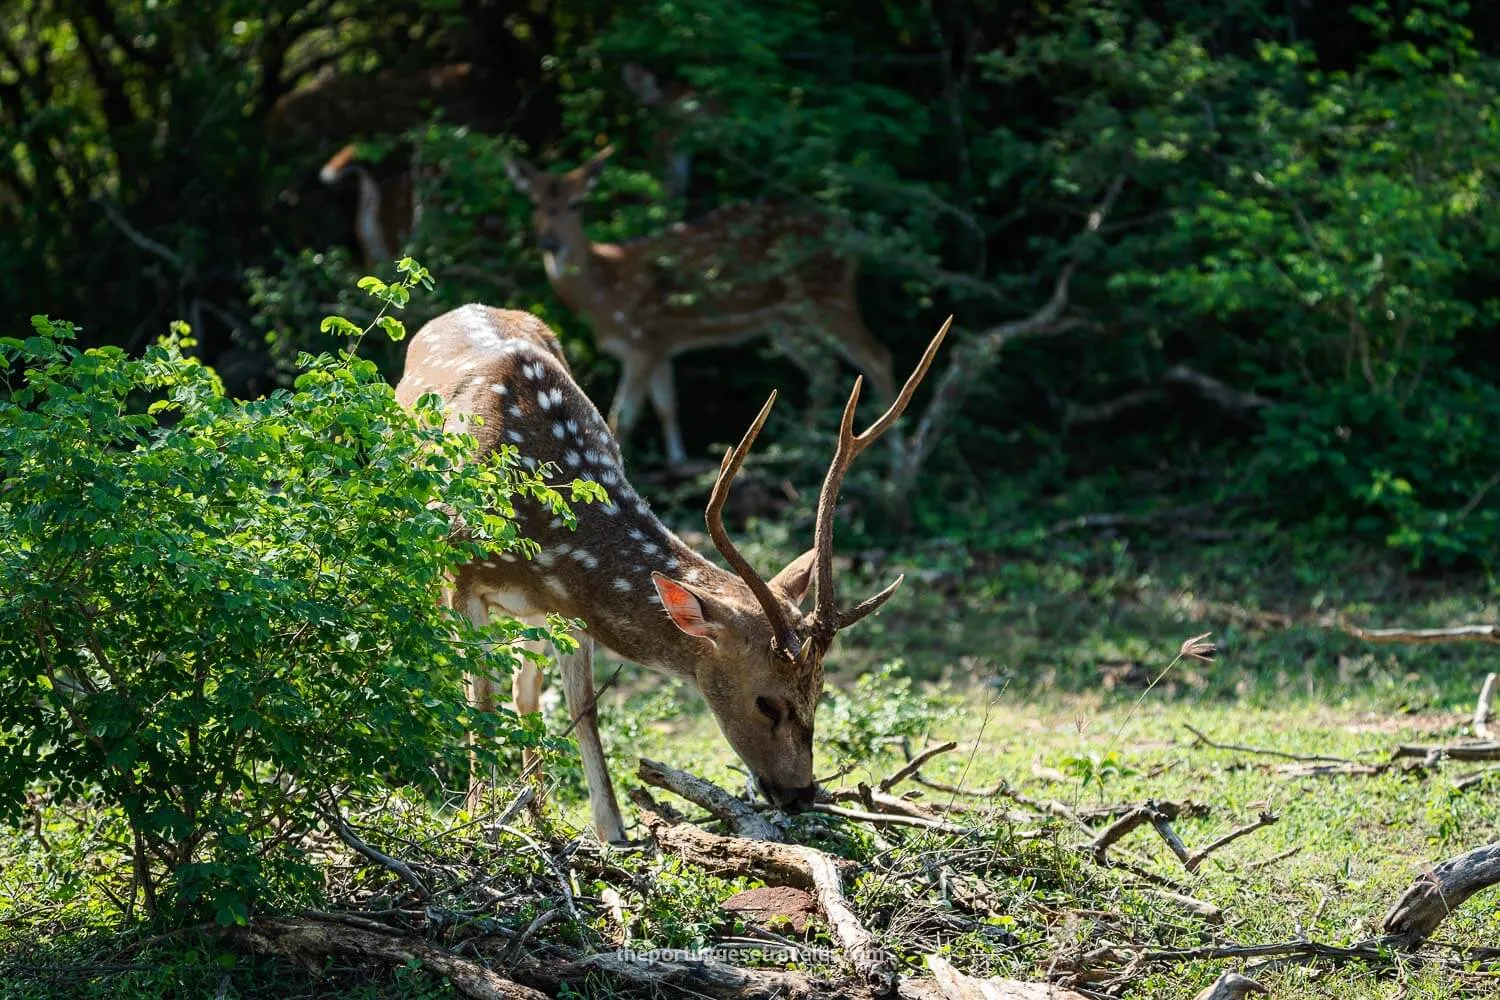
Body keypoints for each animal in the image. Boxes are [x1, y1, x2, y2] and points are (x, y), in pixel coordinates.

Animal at [395, 302, 948, 843]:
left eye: (820, 691)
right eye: (767, 703)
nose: (800, 794)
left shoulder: (568, 608)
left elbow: (584, 708)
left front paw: (613, 831)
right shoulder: (461, 579)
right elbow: (481, 705)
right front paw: (479, 821)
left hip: (529, 617)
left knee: (526, 690)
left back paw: (535, 812)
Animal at [503, 146, 896, 466]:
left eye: (576, 204)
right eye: (535, 203)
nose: (550, 242)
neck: (603, 292)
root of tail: (853, 234)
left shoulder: (642, 339)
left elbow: (622, 418)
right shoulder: (659, 345)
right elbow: (667, 406)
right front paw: (677, 460)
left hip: (829, 297)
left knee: (877, 358)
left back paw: (893, 465)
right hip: (785, 322)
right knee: (824, 371)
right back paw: (803, 450)